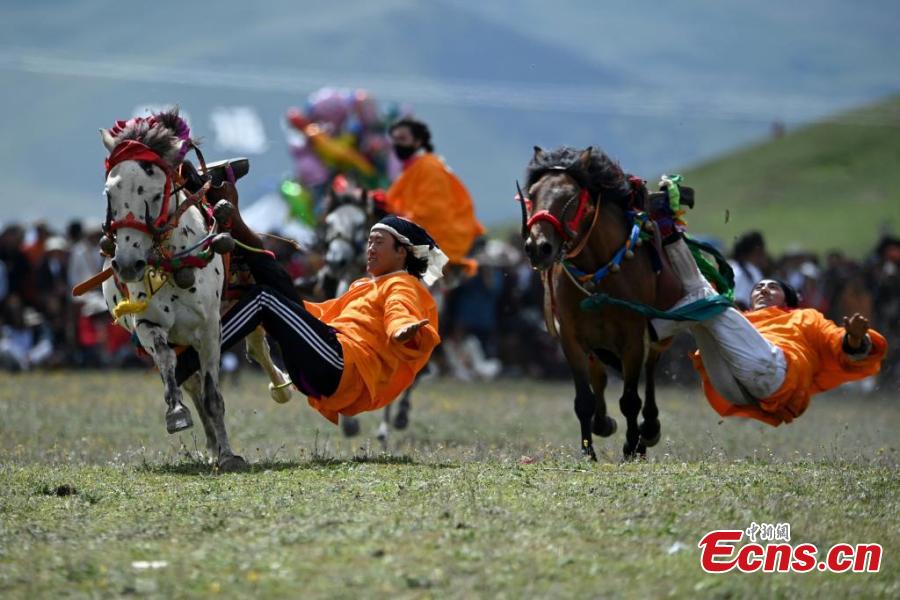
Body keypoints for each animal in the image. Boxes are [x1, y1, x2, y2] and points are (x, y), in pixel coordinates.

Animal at [96, 110, 292, 472]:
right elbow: (172, 370)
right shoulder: (148, 325)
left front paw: (229, 456)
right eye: (110, 194)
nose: (128, 263)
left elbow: (214, 396)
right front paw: (176, 414)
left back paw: (280, 387)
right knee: (191, 381)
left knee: (257, 349)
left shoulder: (210, 327)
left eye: (155, 194)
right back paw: (211, 442)